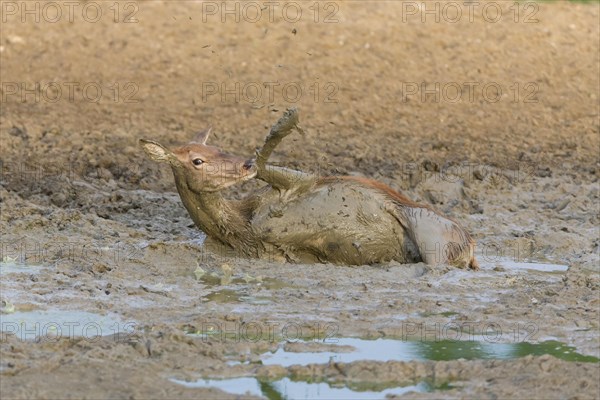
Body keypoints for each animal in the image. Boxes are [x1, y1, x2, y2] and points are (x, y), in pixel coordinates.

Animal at [141, 108, 478, 268]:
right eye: (197, 160)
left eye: (219, 147)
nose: (241, 165)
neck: (244, 228)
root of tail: (471, 248)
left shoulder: (304, 181)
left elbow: (267, 164)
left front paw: (286, 120)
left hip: (432, 228)